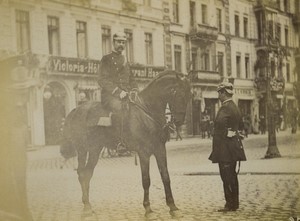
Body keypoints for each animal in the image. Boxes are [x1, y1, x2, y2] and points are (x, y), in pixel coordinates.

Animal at [60, 70, 192, 218]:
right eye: (178, 93)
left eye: (189, 96)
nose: (179, 121)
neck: (148, 112)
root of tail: (76, 110)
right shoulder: (144, 152)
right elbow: (146, 180)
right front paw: (148, 208)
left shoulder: (160, 149)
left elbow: (165, 176)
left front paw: (173, 207)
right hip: (82, 149)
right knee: (82, 173)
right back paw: (87, 208)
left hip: (95, 149)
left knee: (88, 173)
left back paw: (88, 205)